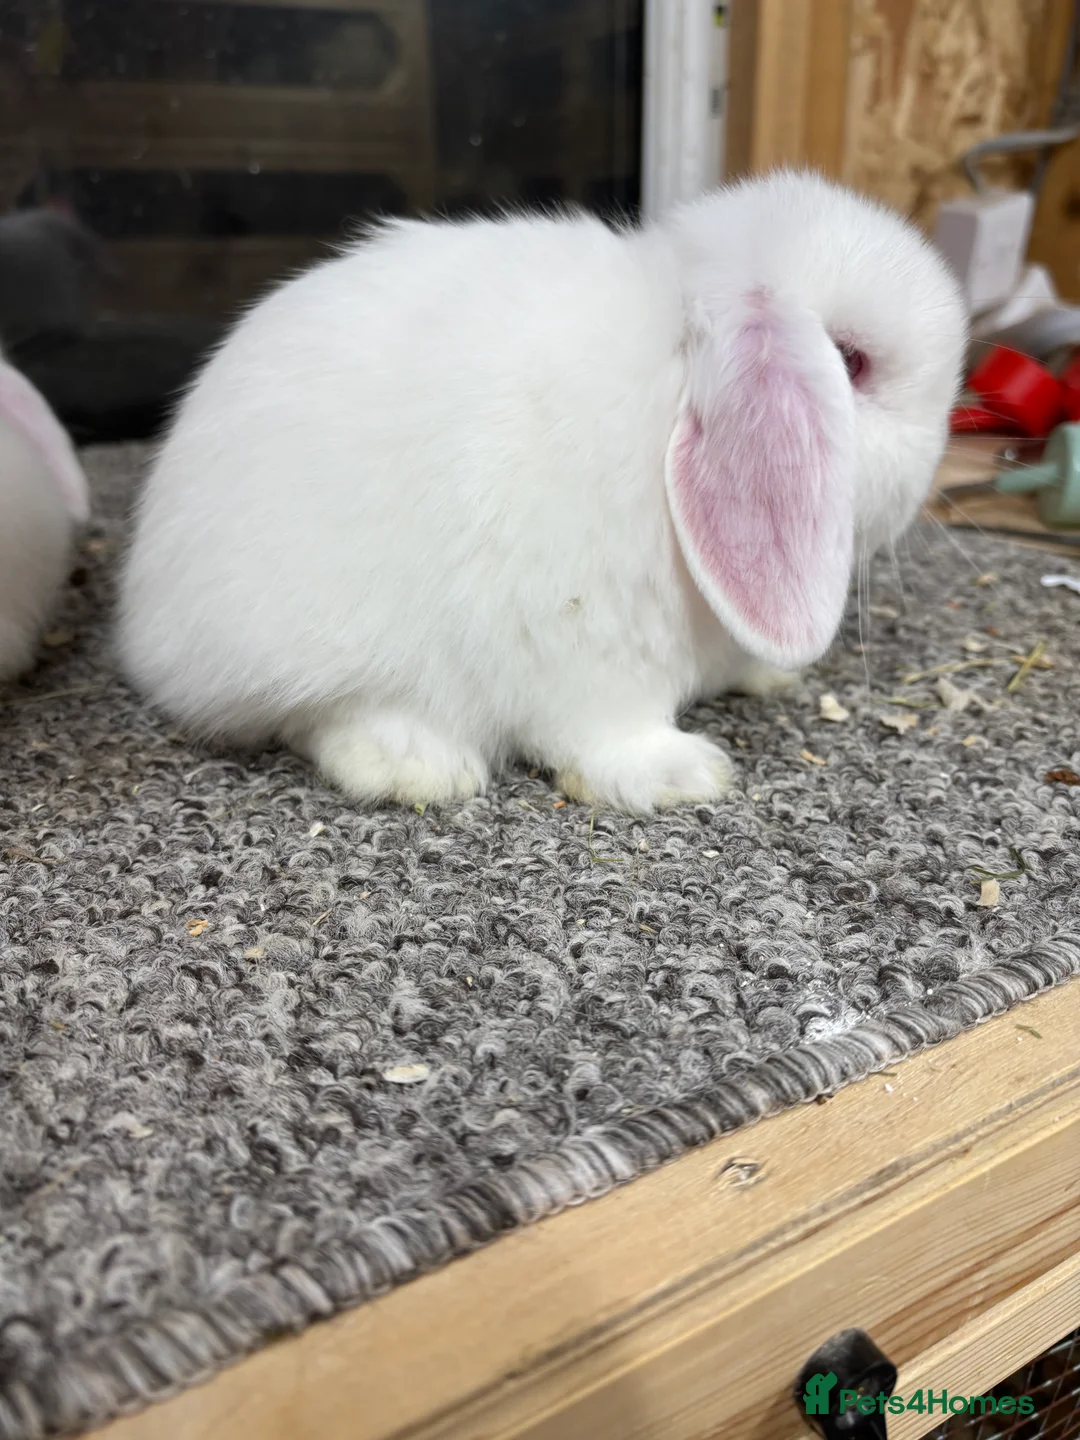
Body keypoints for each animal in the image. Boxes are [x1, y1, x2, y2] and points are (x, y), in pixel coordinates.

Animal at [116, 169, 966, 813]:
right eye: (851, 363)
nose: (934, 464)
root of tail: (148, 630)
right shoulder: (590, 647)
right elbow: (607, 731)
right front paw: (684, 775)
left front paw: (770, 675)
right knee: (323, 719)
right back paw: (421, 768)